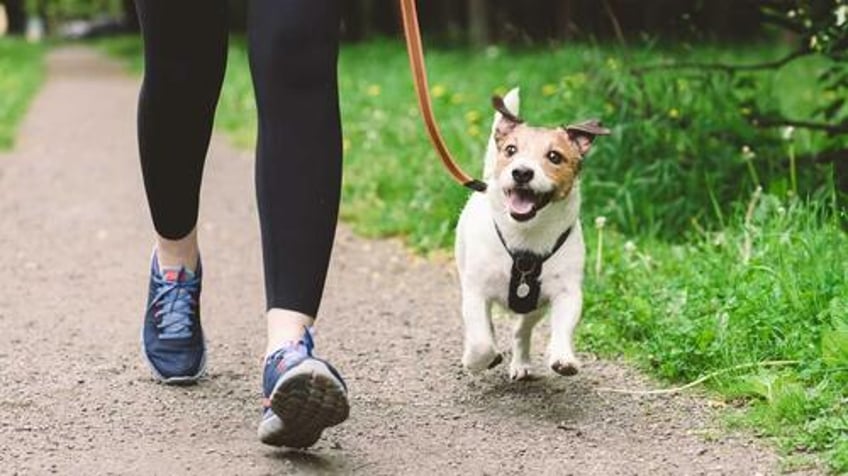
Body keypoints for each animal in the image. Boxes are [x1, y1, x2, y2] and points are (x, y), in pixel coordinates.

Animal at [454, 88, 608, 380]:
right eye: (511, 150)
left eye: (555, 157)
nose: (522, 172)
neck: (526, 236)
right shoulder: (475, 291)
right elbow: (480, 341)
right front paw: (476, 360)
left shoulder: (566, 292)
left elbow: (563, 327)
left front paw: (563, 357)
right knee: (487, 328)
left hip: (535, 306)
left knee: (521, 330)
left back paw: (521, 362)